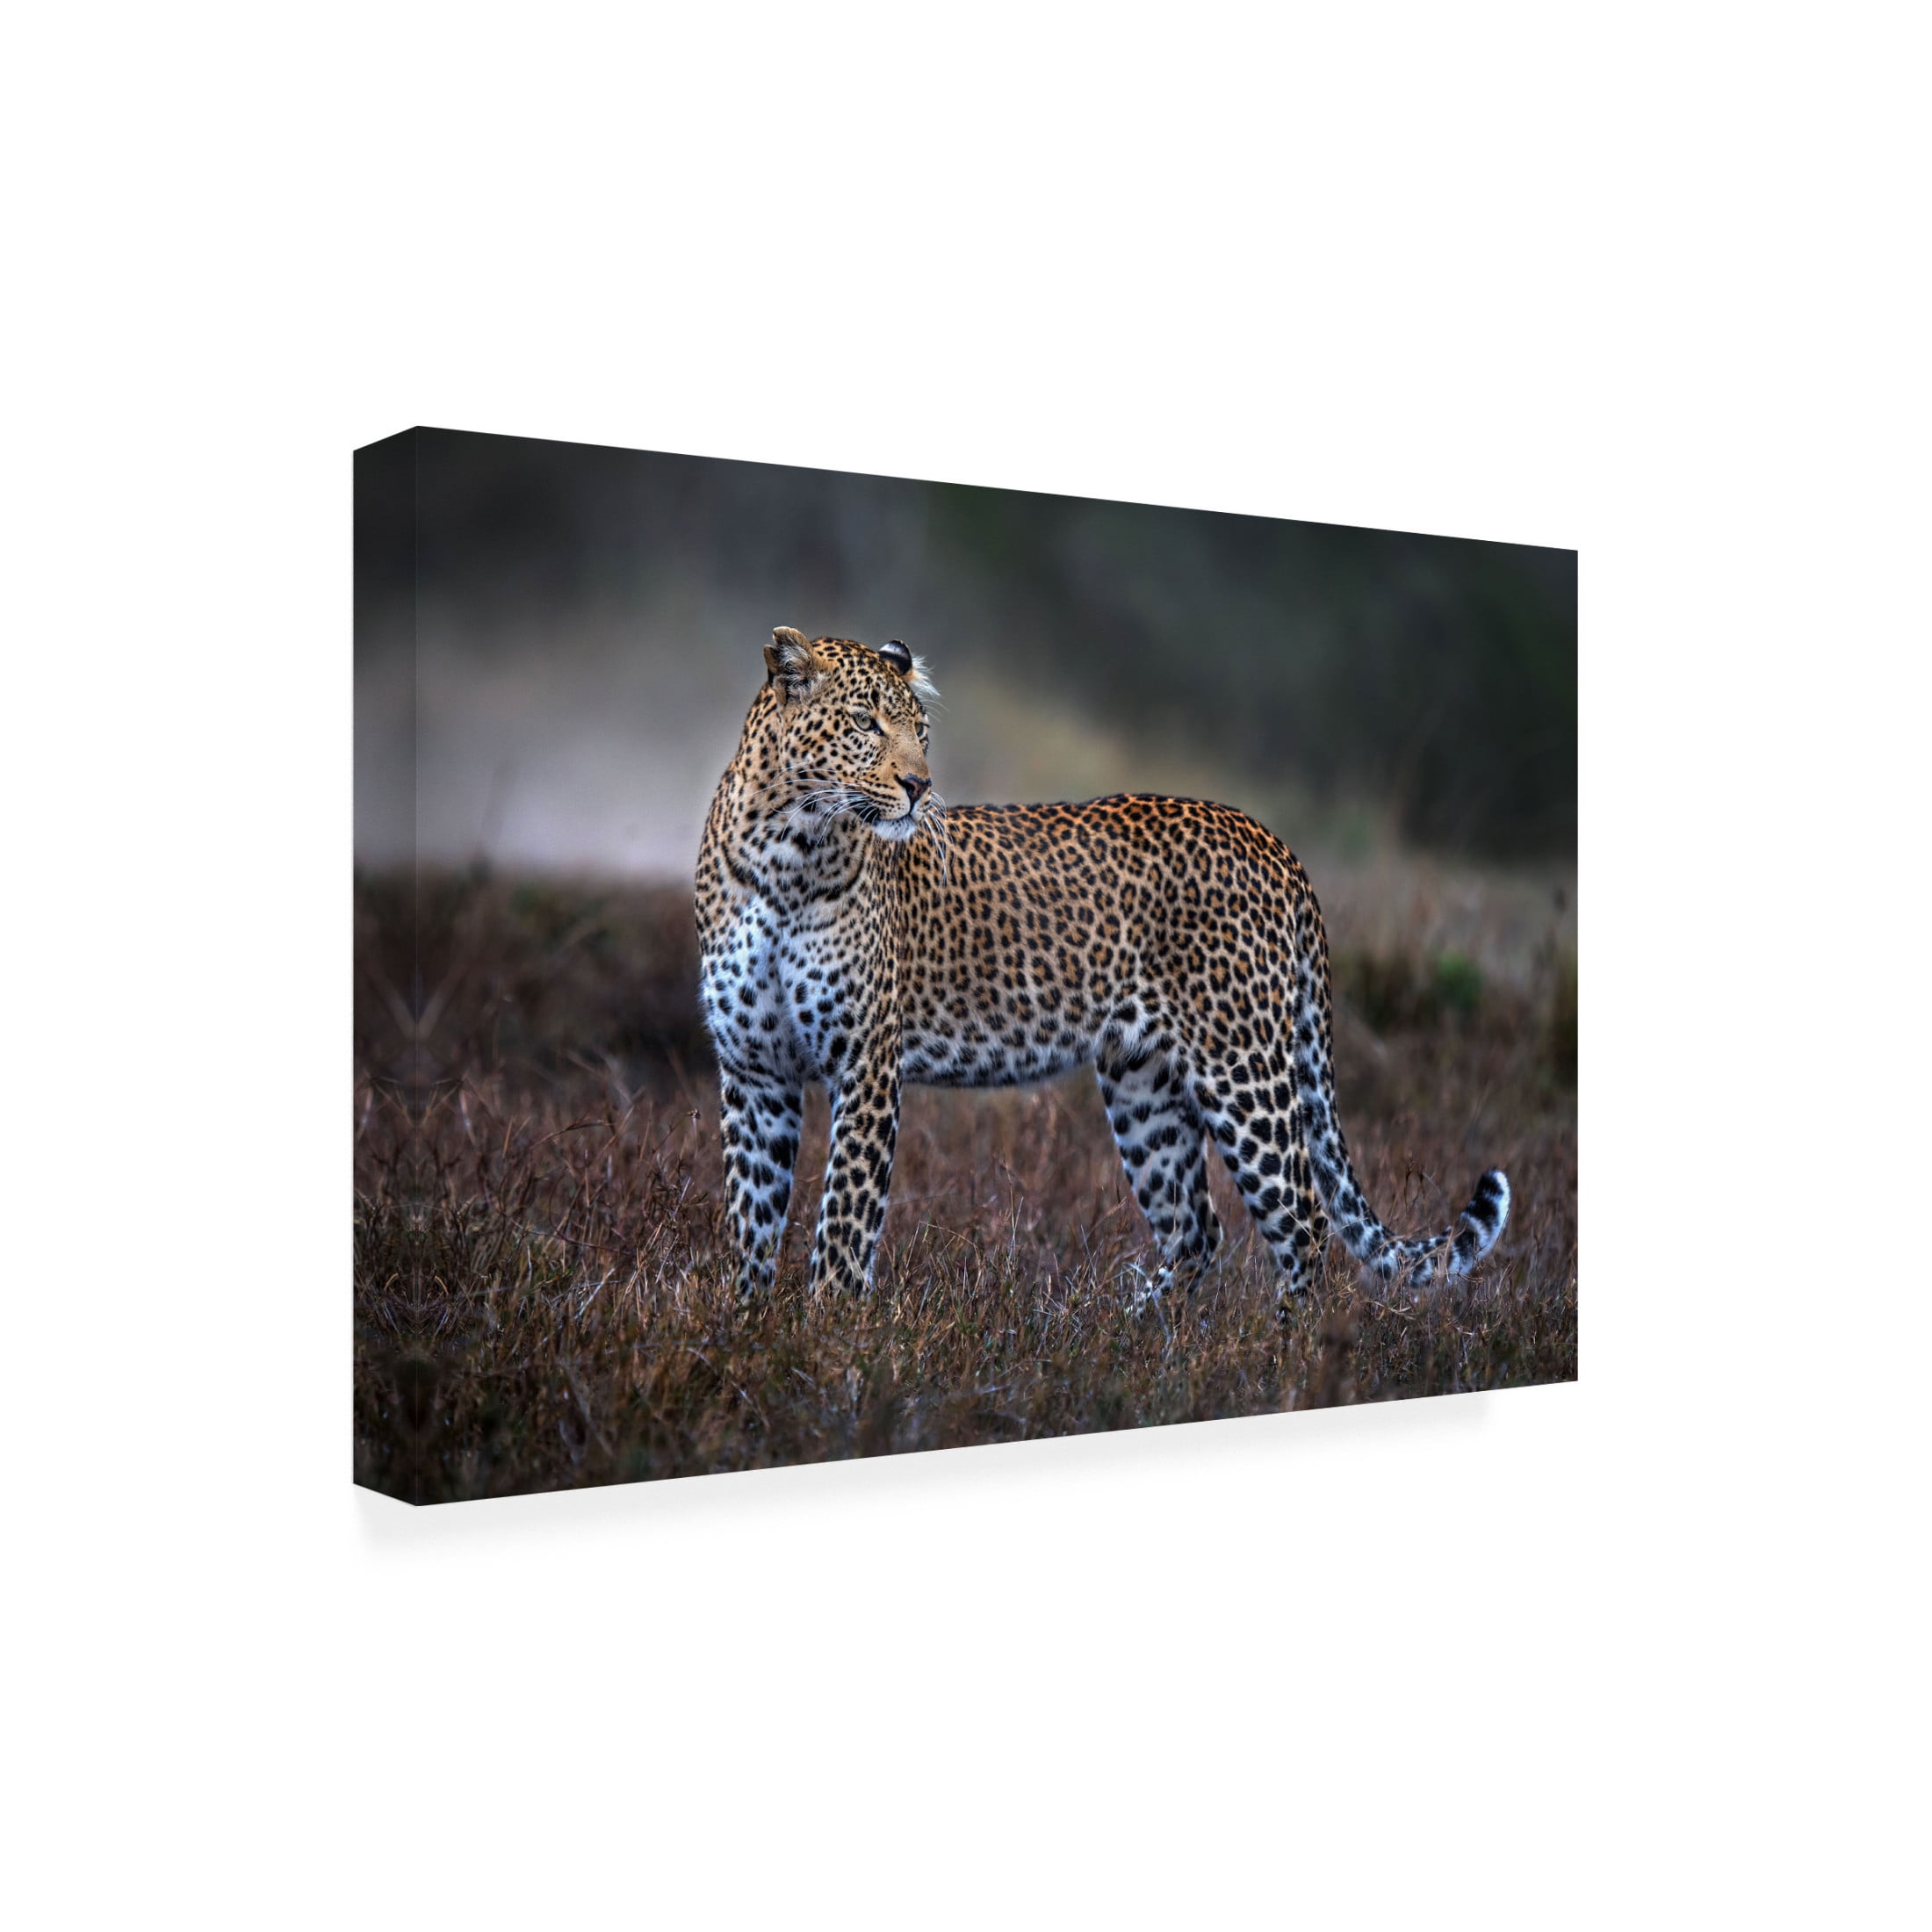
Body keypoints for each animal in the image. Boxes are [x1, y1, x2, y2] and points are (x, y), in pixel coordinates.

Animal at [695, 627, 1510, 1311]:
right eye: (866, 724)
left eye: (920, 734)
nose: (919, 787)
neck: (789, 852)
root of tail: (1272, 841)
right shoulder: (755, 1070)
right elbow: (752, 1216)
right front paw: (748, 1328)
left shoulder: (865, 1062)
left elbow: (844, 1221)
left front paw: (830, 1334)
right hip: (1143, 1083)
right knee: (1196, 1229)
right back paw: (1137, 1332)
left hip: (1242, 1067)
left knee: (1303, 1220)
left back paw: (1285, 1353)